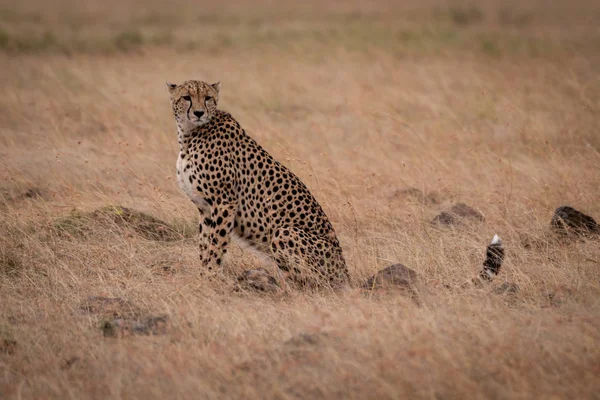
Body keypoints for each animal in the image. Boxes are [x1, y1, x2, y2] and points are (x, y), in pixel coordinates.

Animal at [166, 80, 350, 288]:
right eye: (186, 97)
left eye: (208, 98)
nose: (198, 113)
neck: (189, 135)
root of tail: (345, 274)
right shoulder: (204, 207)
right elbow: (205, 244)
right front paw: (203, 276)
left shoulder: (225, 202)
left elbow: (216, 244)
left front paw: (211, 277)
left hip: (284, 232)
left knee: (306, 284)